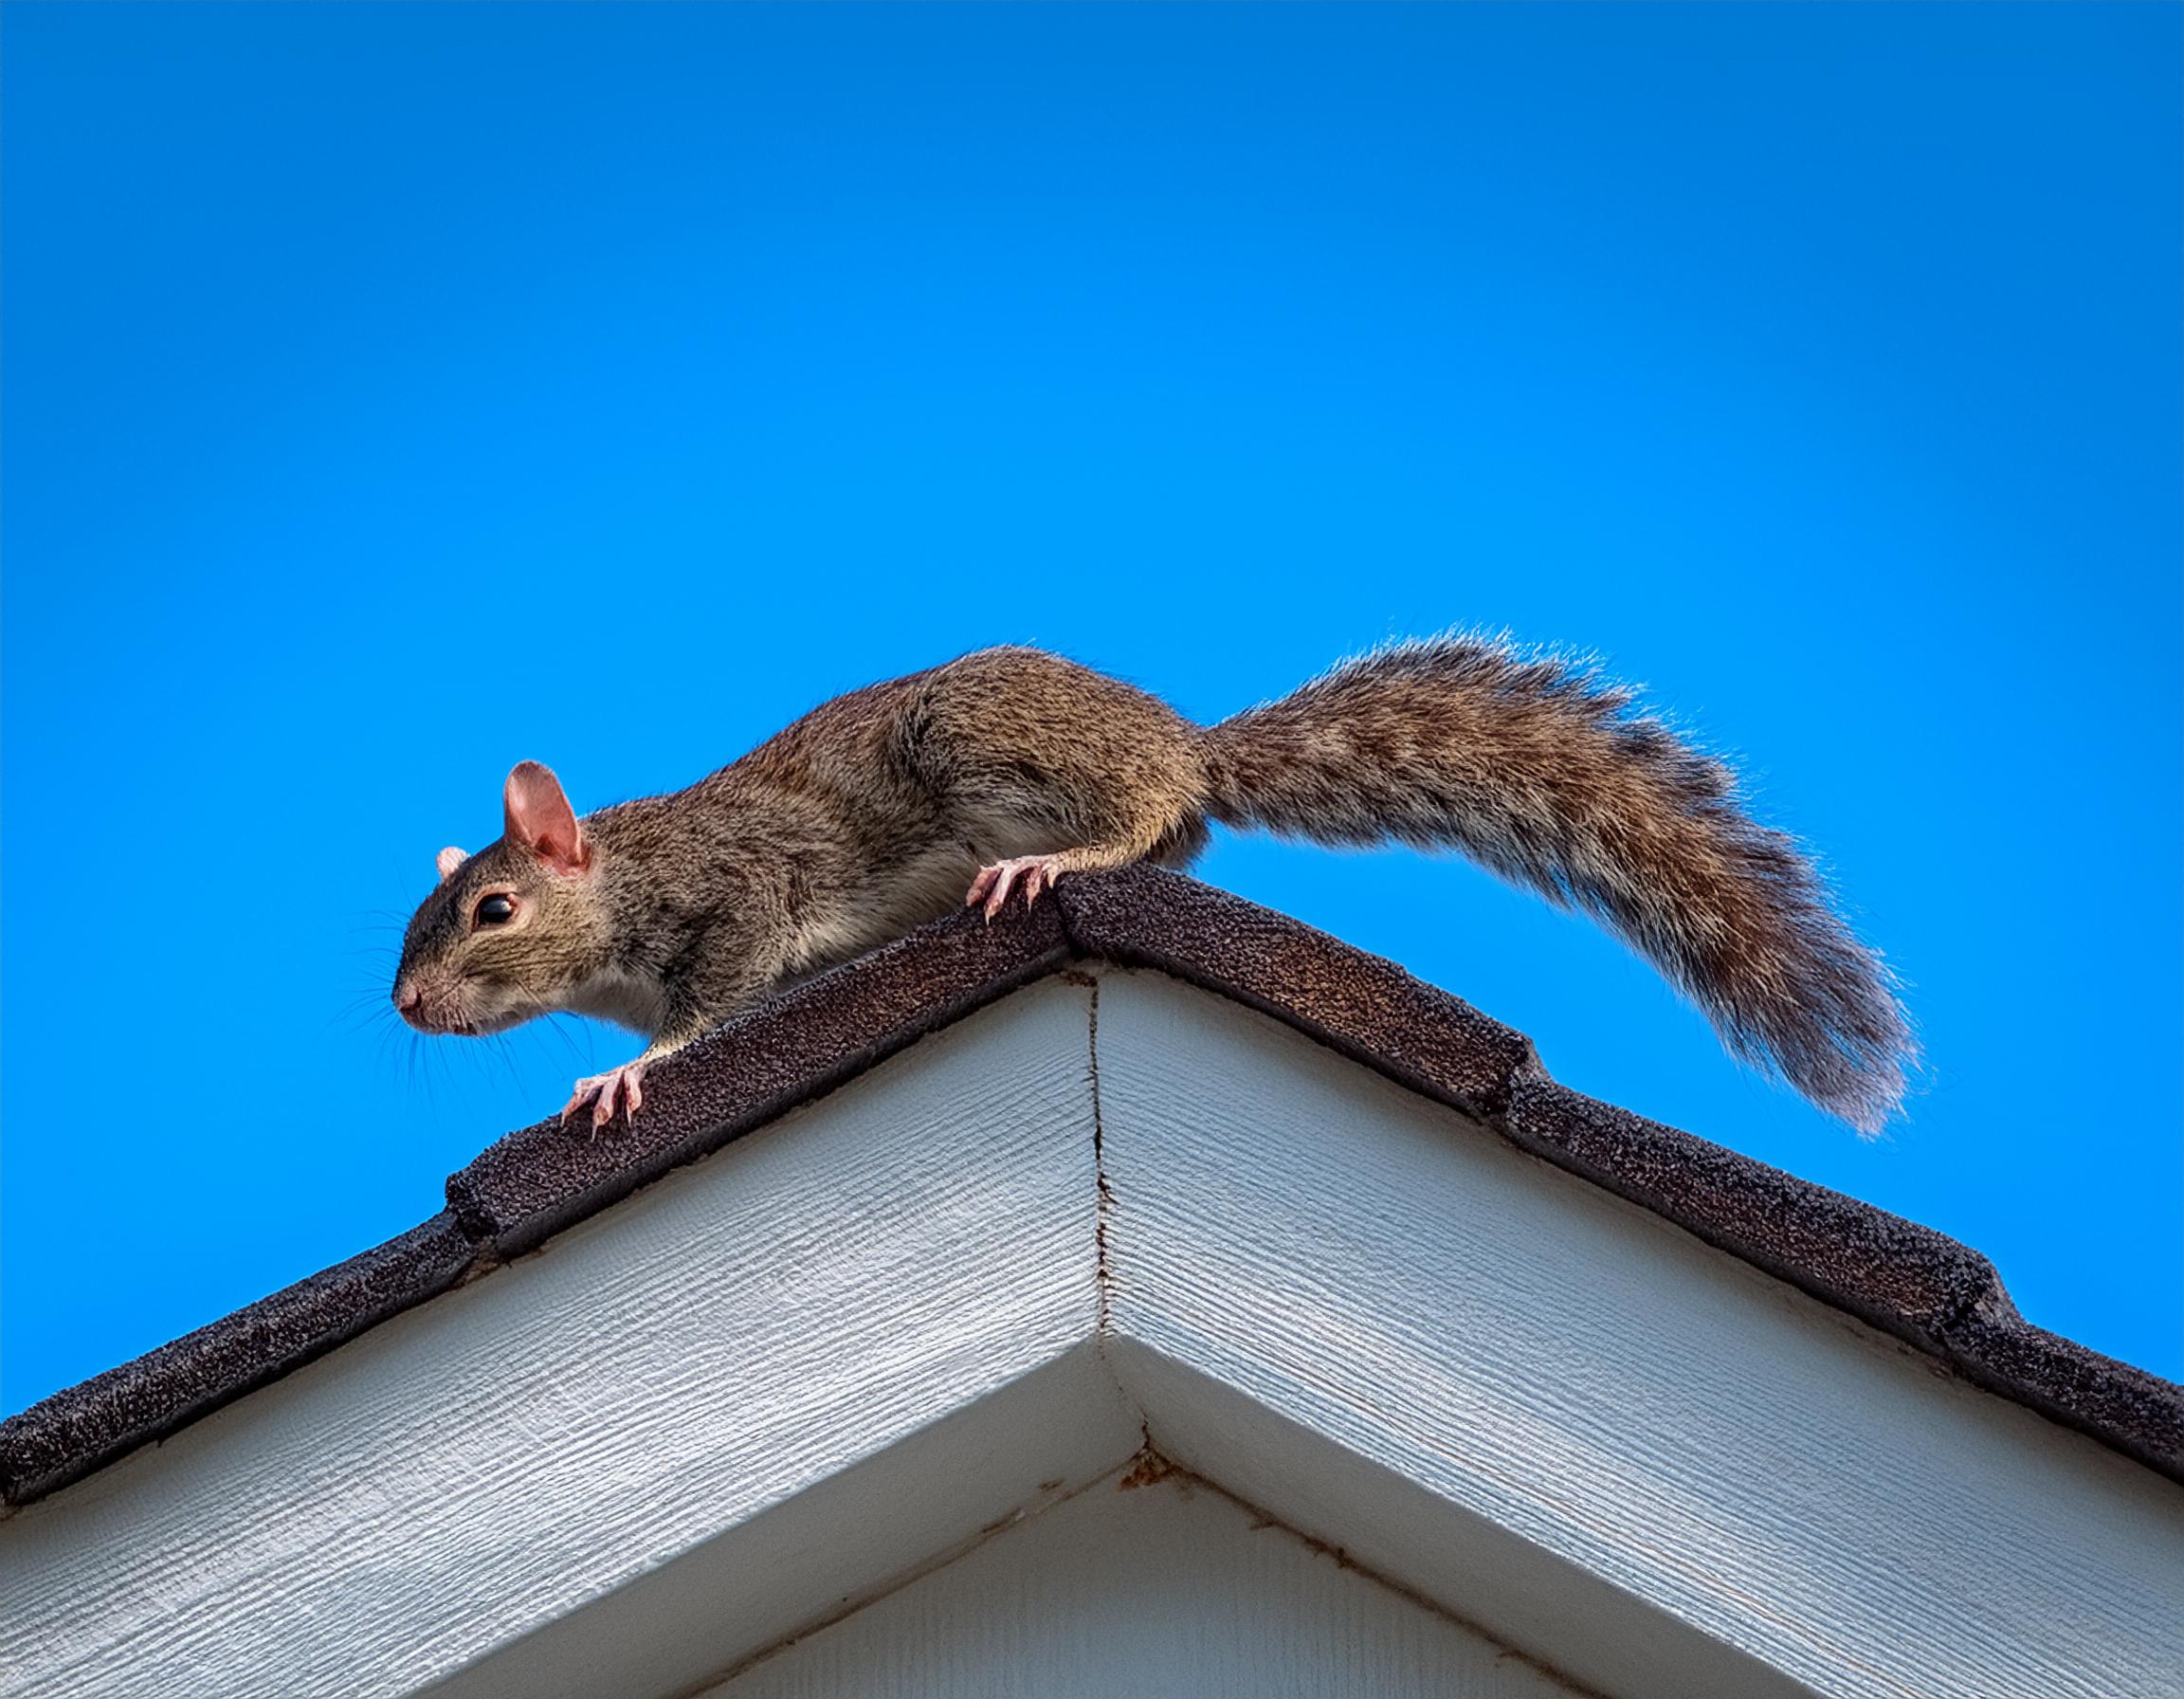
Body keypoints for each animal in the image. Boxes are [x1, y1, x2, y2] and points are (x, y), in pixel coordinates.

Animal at [393, 637, 1913, 1134]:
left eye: (493, 911)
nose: (406, 1009)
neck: (620, 886)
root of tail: (1184, 739)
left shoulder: (742, 895)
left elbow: (702, 1009)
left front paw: (621, 1072)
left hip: (982, 742)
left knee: (1142, 826)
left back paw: (1053, 858)